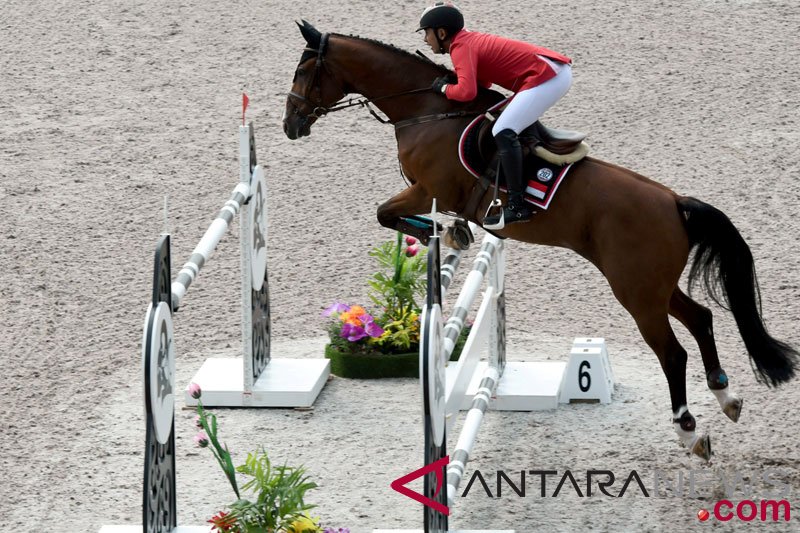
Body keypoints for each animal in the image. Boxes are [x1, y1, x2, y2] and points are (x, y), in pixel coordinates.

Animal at [282, 20, 792, 460]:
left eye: (304, 71)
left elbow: (386, 214)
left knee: (672, 352)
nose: (291, 124)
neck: (427, 110)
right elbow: (391, 216)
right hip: (652, 285)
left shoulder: (427, 189)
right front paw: (456, 232)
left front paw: (449, 232)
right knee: (702, 318)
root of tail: (674, 202)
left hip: (635, 291)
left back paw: (689, 431)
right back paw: (726, 396)